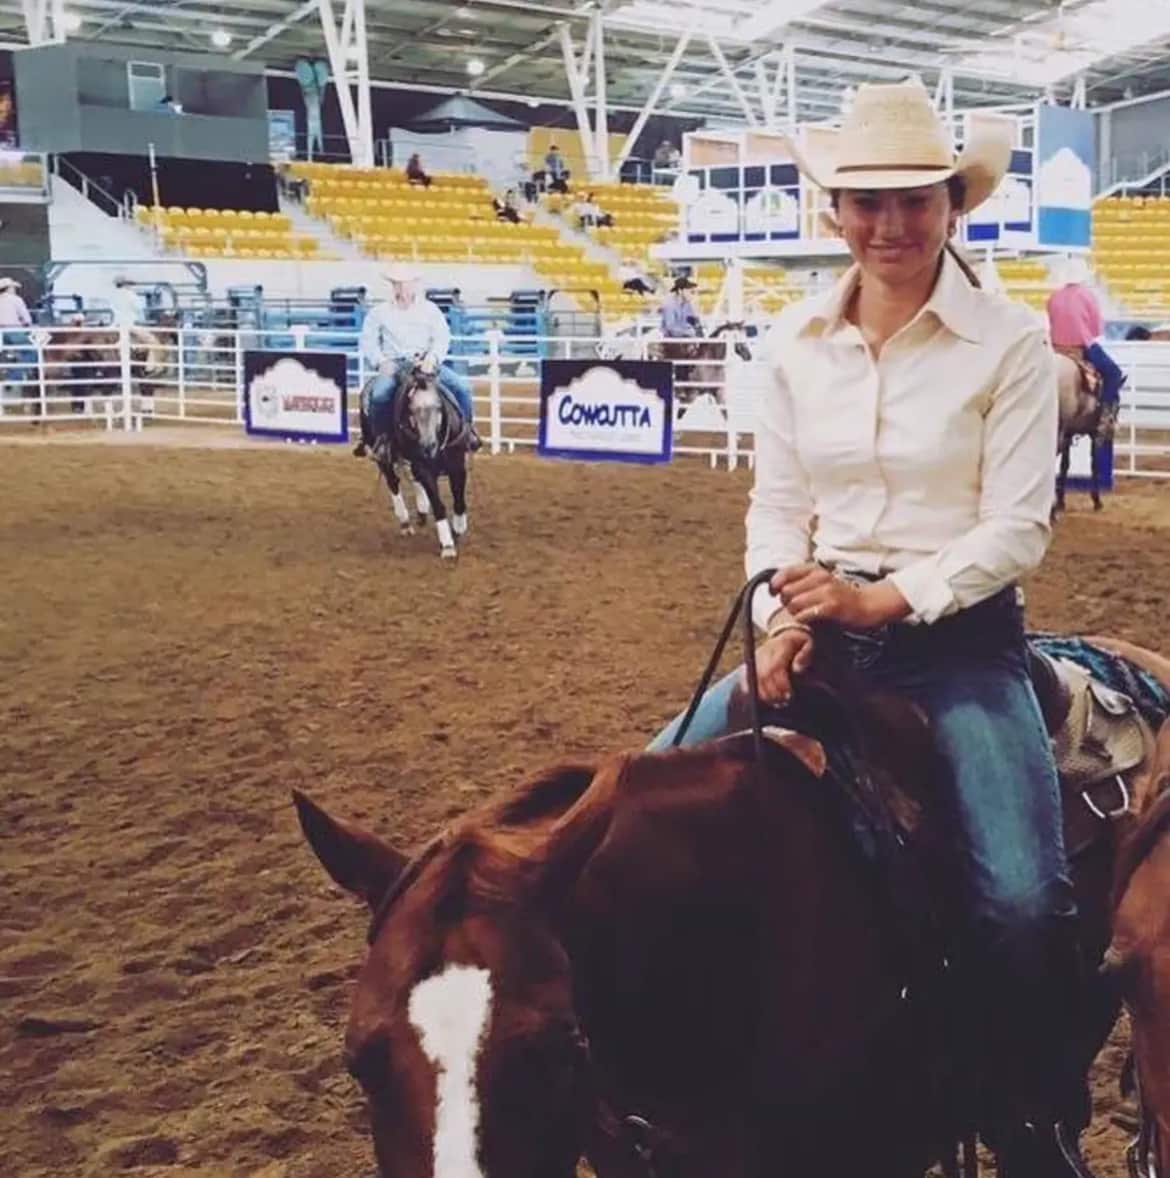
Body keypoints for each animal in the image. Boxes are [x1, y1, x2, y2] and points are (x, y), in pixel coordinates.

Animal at [359, 362, 471, 560]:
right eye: (412, 410)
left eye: (438, 407)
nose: (428, 446)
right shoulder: (423, 467)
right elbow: (438, 504)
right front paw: (448, 545)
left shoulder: (458, 465)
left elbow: (459, 501)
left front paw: (457, 530)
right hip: (383, 457)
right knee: (393, 482)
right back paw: (405, 522)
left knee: (412, 478)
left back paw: (422, 509)